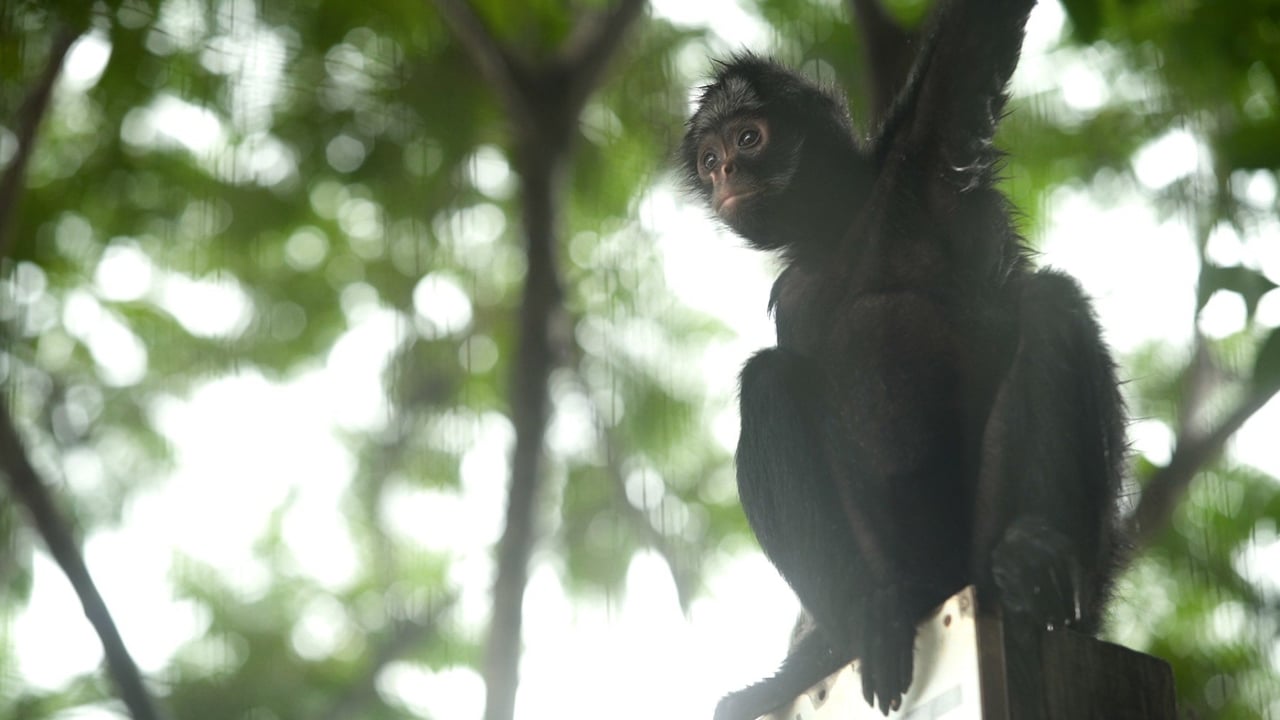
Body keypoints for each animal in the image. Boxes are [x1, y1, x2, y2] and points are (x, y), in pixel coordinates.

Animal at [675, 0, 1126, 712]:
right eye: (709, 155)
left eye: (748, 139)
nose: (724, 174)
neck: (841, 231)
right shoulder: (797, 294)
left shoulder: (926, 147)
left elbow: (974, 37)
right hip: (880, 553)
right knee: (767, 379)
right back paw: (855, 631)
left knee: (1053, 301)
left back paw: (1032, 559)